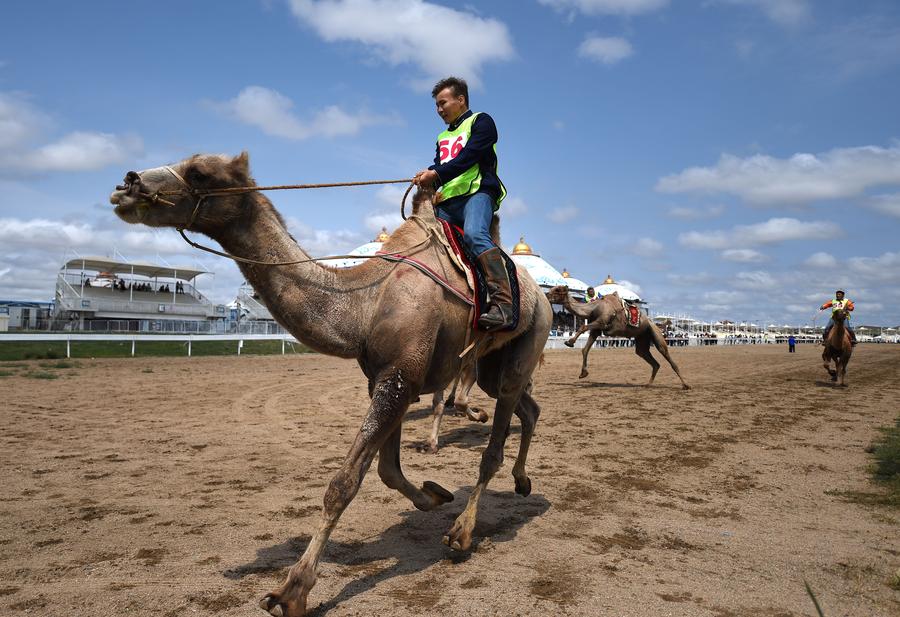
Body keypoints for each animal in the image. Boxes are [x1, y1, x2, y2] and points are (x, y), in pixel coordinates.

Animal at [540, 286, 688, 390]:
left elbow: (582, 327)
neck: (594, 308)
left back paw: (685, 385)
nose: (545, 294)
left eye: (557, 290)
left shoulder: (601, 323)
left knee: (667, 356)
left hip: (656, 335)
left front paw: (570, 342)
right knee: (652, 361)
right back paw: (647, 384)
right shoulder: (596, 330)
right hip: (642, 339)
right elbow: (585, 349)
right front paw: (583, 373)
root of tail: (654, 323)